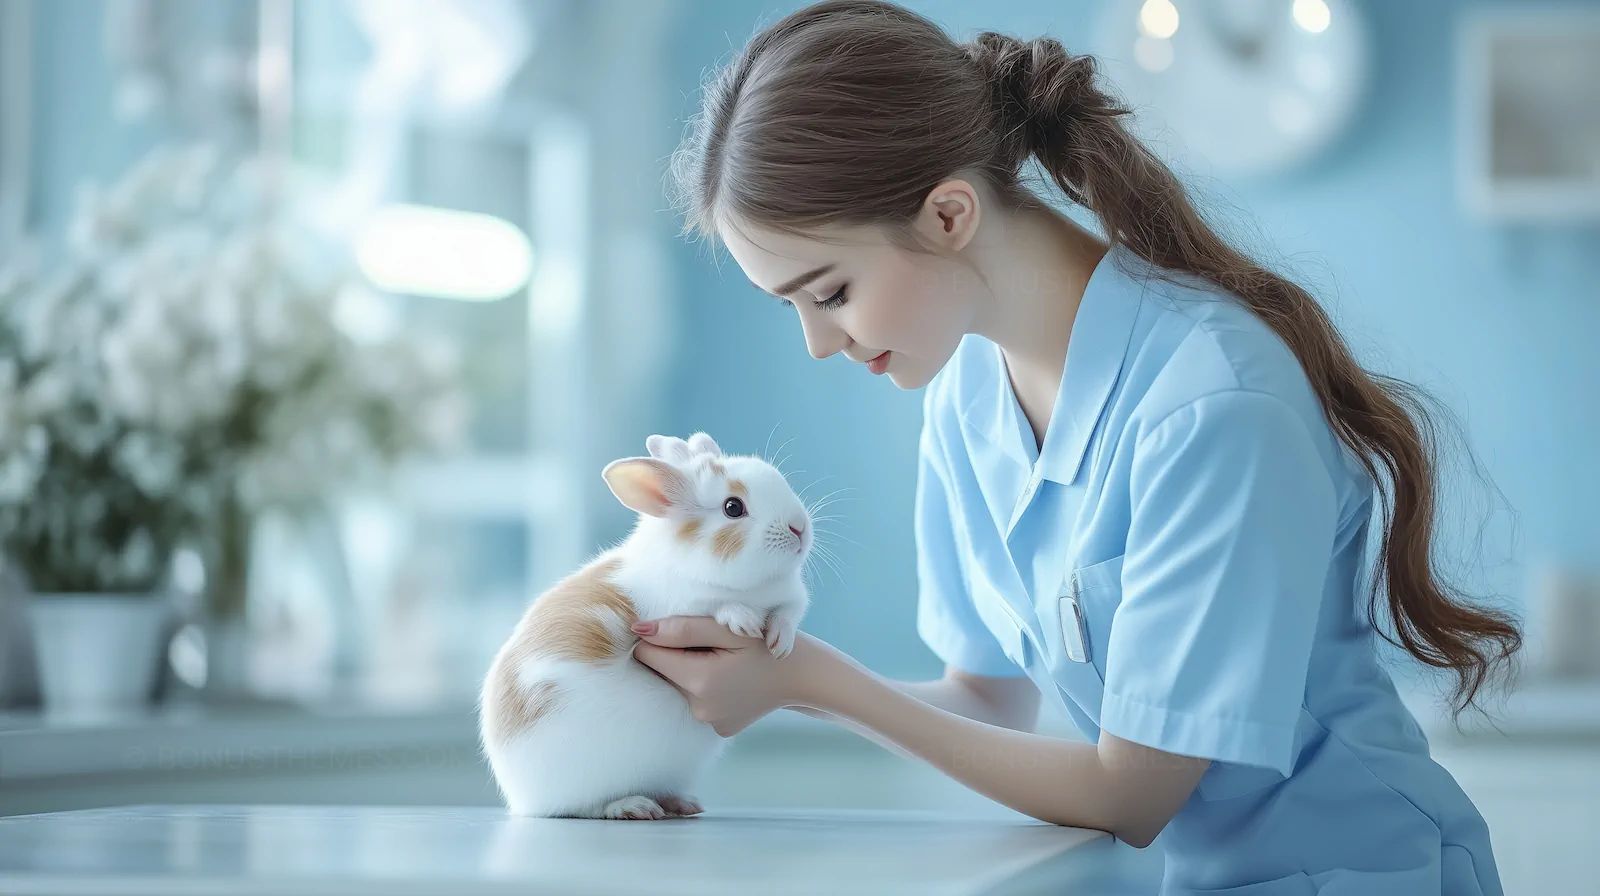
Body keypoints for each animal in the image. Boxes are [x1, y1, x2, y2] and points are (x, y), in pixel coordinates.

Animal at [478, 431, 813, 819]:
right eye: (733, 507)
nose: (800, 528)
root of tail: (519, 797)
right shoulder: (681, 606)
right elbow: (718, 606)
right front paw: (742, 621)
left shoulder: (792, 598)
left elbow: (787, 613)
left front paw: (779, 642)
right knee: (583, 807)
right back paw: (633, 806)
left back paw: (679, 803)